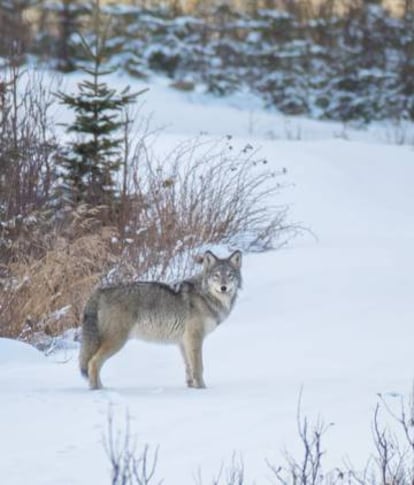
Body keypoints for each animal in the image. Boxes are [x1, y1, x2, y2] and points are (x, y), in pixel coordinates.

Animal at [78, 250, 243, 390]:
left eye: (230, 275)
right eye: (216, 275)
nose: (223, 287)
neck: (205, 296)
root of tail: (99, 290)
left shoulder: (184, 341)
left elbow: (189, 367)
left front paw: (192, 388)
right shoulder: (194, 338)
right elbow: (198, 367)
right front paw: (203, 389)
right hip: (117, 341)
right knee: (93, 362)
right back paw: (97, 389)